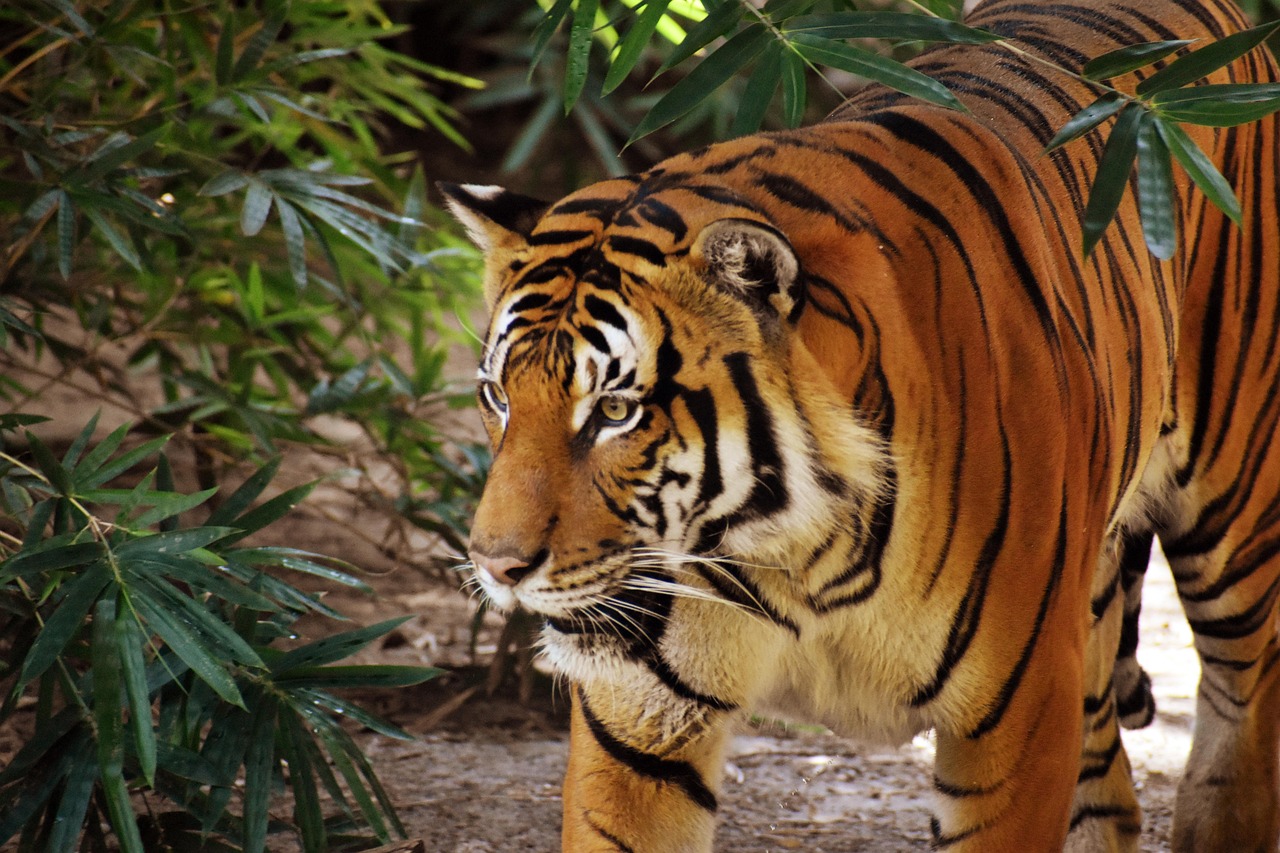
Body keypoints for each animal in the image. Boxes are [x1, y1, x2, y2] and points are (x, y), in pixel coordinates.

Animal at [441, 0, 1280, 848]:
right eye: (498, 397)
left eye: (615, 410)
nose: (496, 565)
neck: (790, 554)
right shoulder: (641, 721)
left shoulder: (1017, 719)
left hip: (1235, 529)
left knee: (1240, 711)